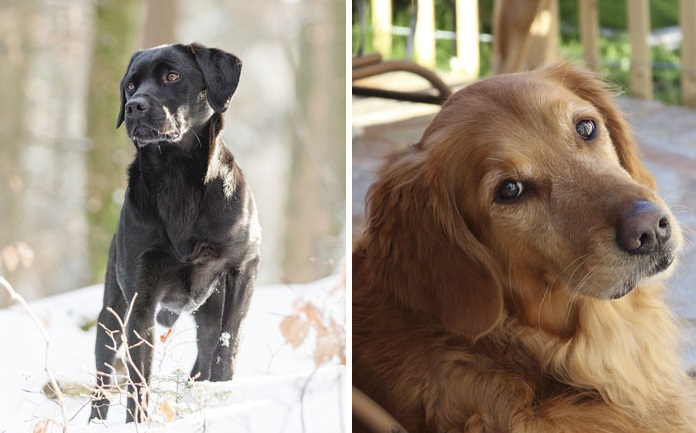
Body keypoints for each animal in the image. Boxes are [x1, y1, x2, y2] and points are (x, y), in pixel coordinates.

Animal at [88, 44, 260, 422]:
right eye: (131, 85)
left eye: (172, 76)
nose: (134, 106)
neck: (176, 178)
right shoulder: (140, 299)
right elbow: (138, 379)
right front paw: (136, 423)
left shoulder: (244, 268)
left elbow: (228, 345)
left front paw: (224, 398)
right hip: (111, 313)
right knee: (103, 373)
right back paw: (95, 421)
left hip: (209, 307)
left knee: (205, 356)